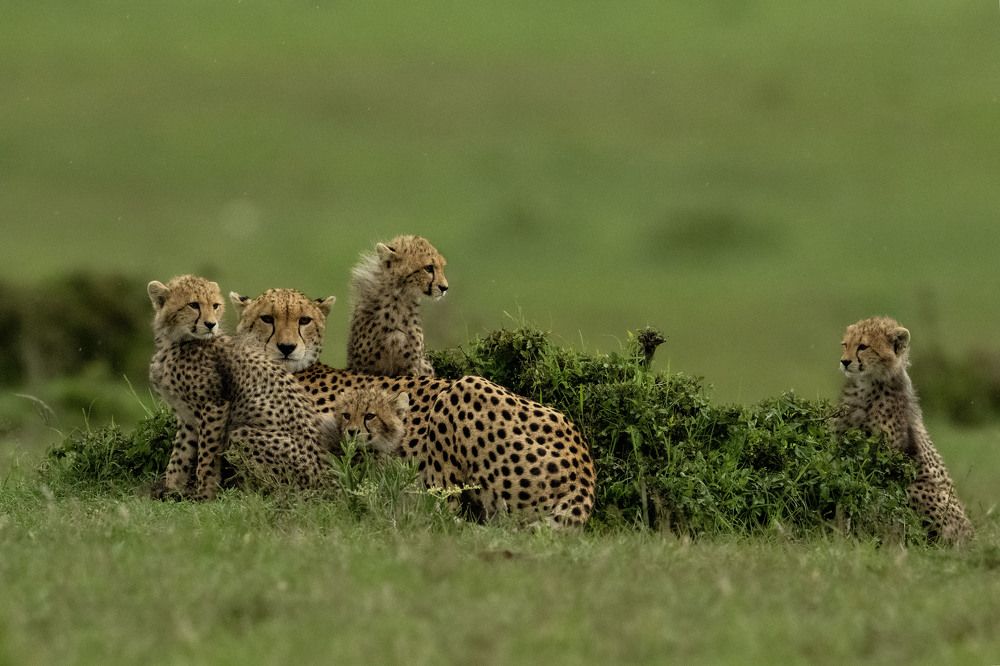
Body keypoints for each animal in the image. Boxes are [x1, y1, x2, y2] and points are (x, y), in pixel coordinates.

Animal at [147, 275, 328, 500]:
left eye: (215, 306)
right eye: (193, 305)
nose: (211, 324)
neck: (175, 342)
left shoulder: (215, 405)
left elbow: (206, 455)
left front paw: (205, 495)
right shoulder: (187, 417)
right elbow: (179, 456)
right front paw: (172, 488)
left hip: (242, 435)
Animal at [233, 287, 596, 527]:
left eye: (304, 320)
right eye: (266, 318)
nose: (287, 347)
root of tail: (584, 464)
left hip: (462, 391)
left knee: (447, 514)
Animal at [346, 234, 448, 377]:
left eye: (442, 267)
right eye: (428, 268)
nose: (444, 288)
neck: (398, 301)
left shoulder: (411, 367)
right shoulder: (363, 368)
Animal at [834, 316, 974, 545]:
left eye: (863, 346)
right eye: (845, 345)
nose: (844, 361)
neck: (869, 382)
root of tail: (972, 535)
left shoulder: (886, 457)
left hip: (917, 487)